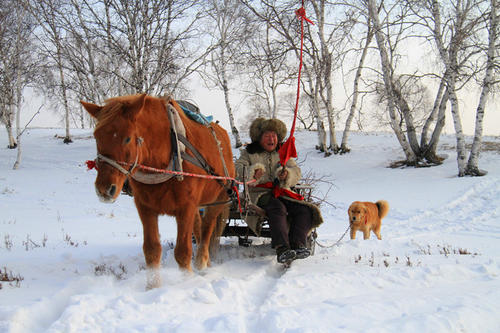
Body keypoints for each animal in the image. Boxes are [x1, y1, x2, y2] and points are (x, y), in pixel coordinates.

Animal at [82, 93, 236, 288]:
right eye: (97, 137)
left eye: (127, 138)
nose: (104, 189)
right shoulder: (145, 208)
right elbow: (152, 249)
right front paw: (153, 286)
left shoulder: (185, 208)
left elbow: (183, 251)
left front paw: (186, 282)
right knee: (198, 228)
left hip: (219, 198)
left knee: (207, 227)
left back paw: (202, 260)